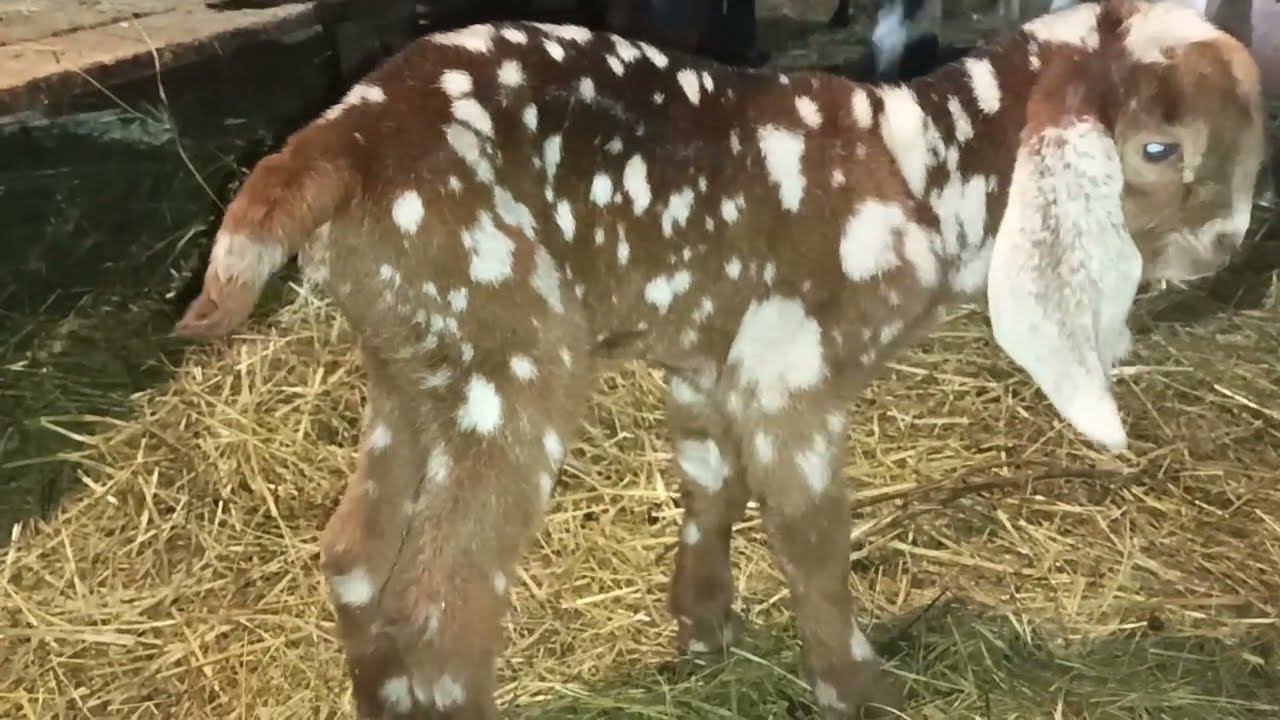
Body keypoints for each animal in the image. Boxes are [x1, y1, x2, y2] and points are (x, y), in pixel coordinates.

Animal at [173, 0, 1264, 716]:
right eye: (1158, 149)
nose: (1223, 249)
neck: (930, 177)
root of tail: (340, 139)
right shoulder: (795, 374)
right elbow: (813, 535)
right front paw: (859, 684)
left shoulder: (710, 360)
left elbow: (711, 485)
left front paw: (702, 628)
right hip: (510, 354)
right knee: (446, 608)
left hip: (407, 359)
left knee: (354, 549)